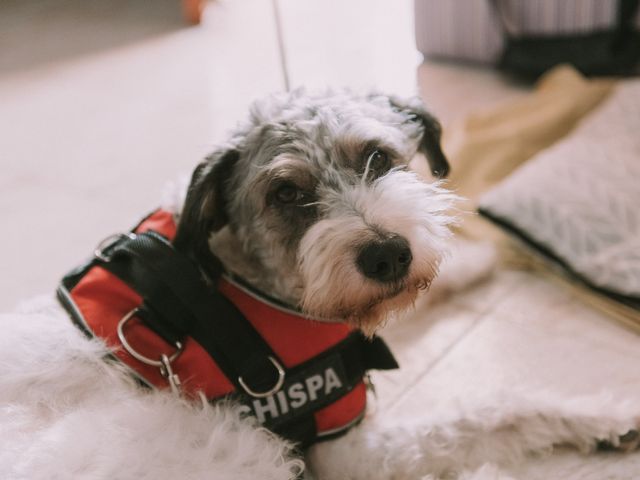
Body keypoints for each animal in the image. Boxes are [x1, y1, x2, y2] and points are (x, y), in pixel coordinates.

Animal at [1, 91, 640, 480]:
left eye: (378, 159)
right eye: (285, 192)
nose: (388, 254)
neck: (240, 284)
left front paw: (472, 262)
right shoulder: (348, 450)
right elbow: (488, 413)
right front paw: (605, 416)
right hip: (235, 445)